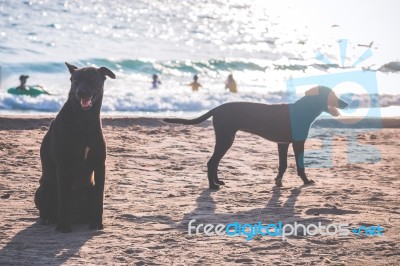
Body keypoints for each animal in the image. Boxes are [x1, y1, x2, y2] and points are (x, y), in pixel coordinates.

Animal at [34, 62, 115, 233]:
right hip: (43, 190)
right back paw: (50, 219)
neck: (84, 119)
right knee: (47, 209)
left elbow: (100, 198)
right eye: (75, 80)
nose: (80, 92)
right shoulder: (62, 164)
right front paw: (63, 226)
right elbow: (63, 198)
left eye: (91, 79)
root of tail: (76, 217)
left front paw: (97, 223)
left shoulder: (100, 164)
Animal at [164, 87, 348, 189]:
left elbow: (283, 165)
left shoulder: (282, 143)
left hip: (225, 139)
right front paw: (306, 181)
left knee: (214, 162)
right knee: (211, 162)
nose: (346, 103)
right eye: (331, 94)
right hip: (226, 139)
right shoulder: (298, 143)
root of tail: (217, 108)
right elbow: (300, 166)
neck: (302, 110)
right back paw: (212, 186)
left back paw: (218, 182)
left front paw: (278, 182)